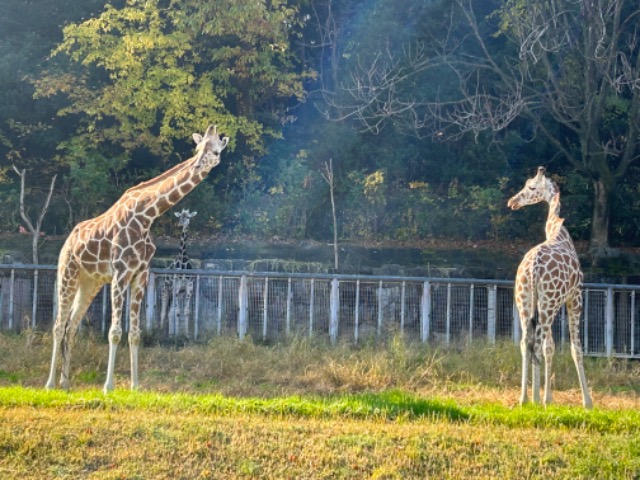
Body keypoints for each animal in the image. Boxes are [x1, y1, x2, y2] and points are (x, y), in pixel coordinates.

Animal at [160, 208, 198, 336]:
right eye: (180, 216)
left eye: (188, 217)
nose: (181, 224)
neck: (183, 261)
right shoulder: (176, 287)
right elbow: (175, 312)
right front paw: (174, 336)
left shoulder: (188, 289)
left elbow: (185, 311)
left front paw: (186, 334)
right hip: (165, 290)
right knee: (164, 312)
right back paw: (162, 332)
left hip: (178, 293)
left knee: (172, 310)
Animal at [508, 167, 592, 406]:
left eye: (531, 187)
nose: (512, 202)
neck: (558, 232)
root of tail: (533, 266)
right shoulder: (575, 296)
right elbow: (575, 348)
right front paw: (587, 402)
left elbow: (548, 346)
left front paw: (546, 397)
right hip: (549, 303)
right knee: (538, 343)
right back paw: (538, 399)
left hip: (524, 300)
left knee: (525, 342)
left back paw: (524, 399)